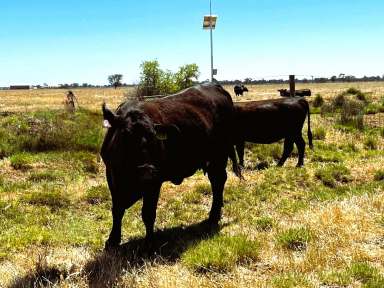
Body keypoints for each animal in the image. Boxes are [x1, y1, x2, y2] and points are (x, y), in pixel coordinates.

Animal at [100, 84, 242, 250]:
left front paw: (149, 244)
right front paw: (112, 240)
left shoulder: (154, 183)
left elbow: (148, 214)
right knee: (216, 181)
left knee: (218, 181)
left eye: (154, 137)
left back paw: (213, 216)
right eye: (125, 135)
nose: (147, 172)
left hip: (219, 155)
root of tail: (217, 87)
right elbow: (117, 210)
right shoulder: (112, 177)